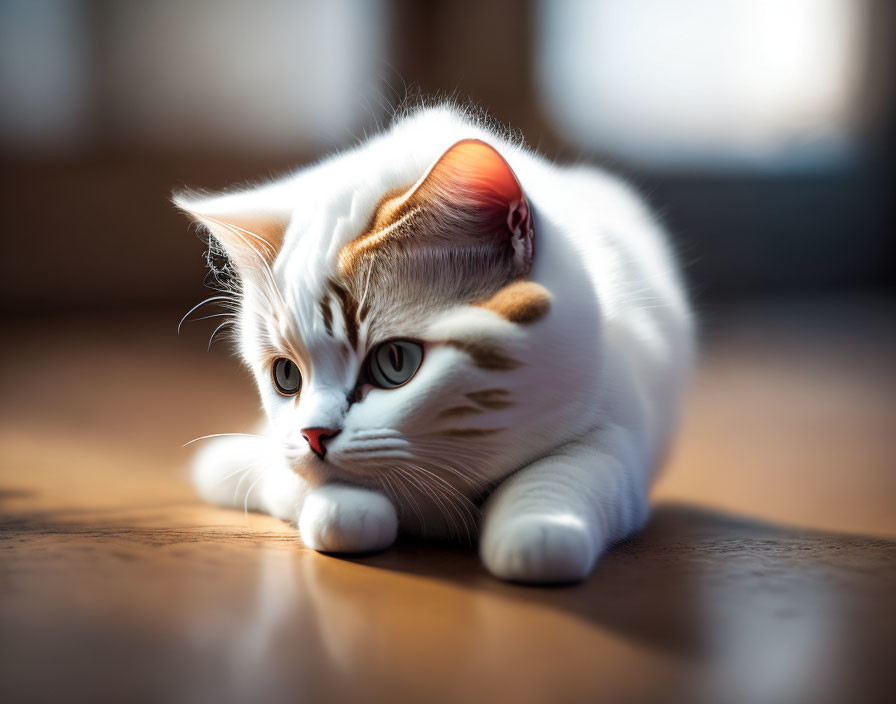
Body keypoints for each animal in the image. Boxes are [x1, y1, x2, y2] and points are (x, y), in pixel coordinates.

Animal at [173, 104, 692, 584]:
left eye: (395, 363)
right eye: (285, 376)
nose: (313, 435)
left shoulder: (618, 424)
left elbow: (569, 476)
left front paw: (541, 527)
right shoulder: (286, 459)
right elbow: (311, 493)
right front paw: (344, 507)